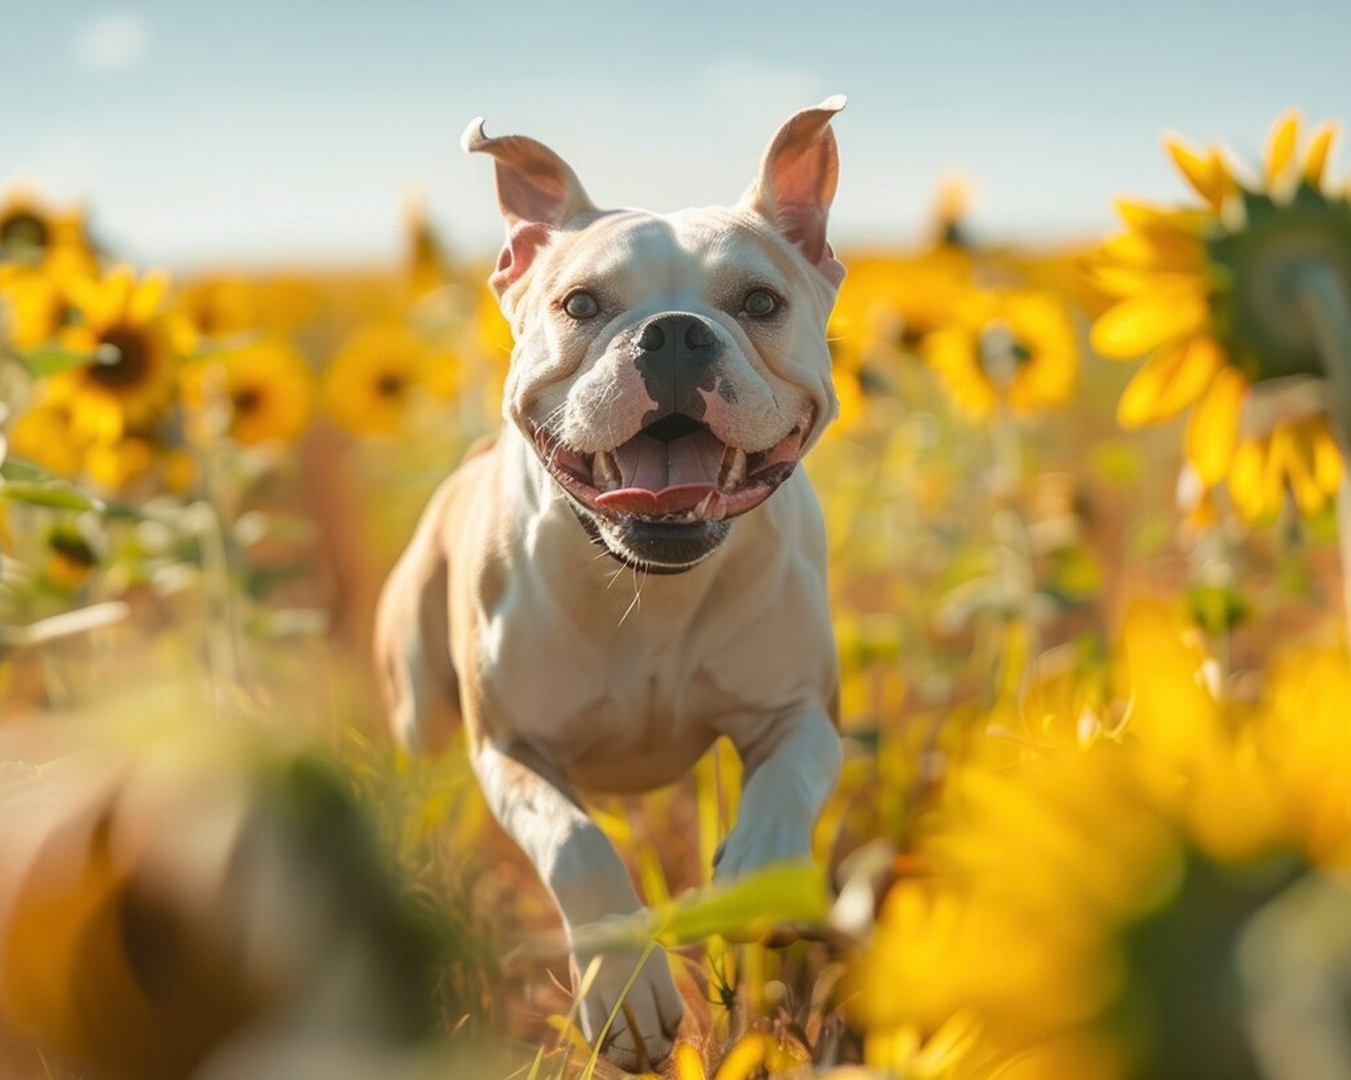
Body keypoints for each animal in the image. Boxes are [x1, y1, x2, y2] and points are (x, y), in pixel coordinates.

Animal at [372, 97, 843, 1070]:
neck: (649, 580)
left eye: (761, 302)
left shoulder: (802, 714)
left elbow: (785, 789)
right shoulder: (510, 749)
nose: (673, 333)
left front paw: (751, 878)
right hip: (418, 724)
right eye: (581, 303)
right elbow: (577, 845)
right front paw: (627, 991)